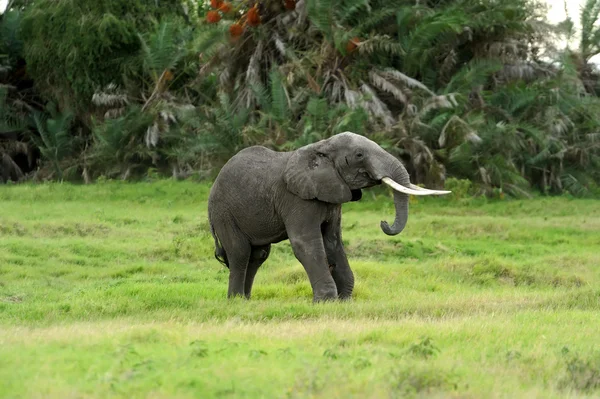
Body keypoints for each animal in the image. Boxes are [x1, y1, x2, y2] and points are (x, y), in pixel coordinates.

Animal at [209, 133, 448, 302]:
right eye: (359, 155)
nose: (384, 223)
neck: (321, 147)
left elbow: (333, 242)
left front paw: (345, 300)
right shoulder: (296, 198)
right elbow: (305, 243)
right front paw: (326, 302)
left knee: (258, 255)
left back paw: (246, 300)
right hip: (223, 212)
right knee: (240, 252)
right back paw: (236, 301)